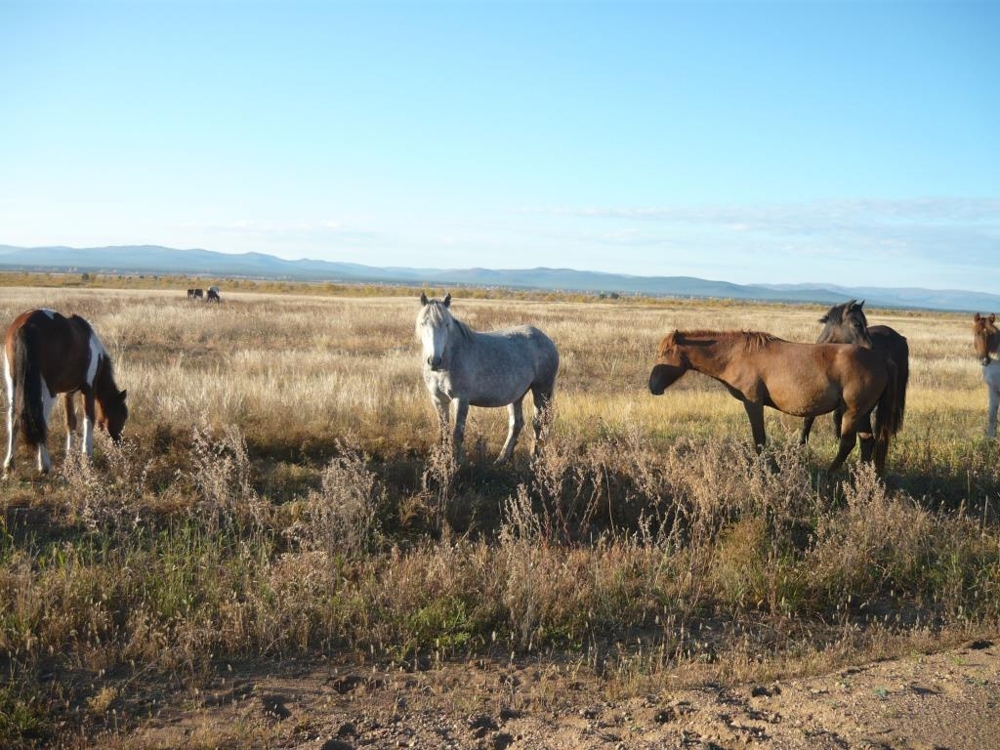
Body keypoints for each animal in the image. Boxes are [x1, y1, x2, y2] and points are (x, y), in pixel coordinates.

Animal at [2, 310, 128, 476]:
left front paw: (70, 457)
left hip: (13, 382)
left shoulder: (68, 393)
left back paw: (9, 464)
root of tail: (26, 325)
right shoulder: (89, 389)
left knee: (13, 417)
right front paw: (87, 458)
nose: (119, 442)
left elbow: (70, 422)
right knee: (40, 420)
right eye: (123, 415)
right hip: (47, 390)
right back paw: (44, 465)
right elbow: (89, 419)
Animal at [416, 294, 564, 464]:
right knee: (517, 423)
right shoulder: (438, 400)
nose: (434, 361)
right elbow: (444, 433)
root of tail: (547, 340)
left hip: (541, 390)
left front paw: (459, 463)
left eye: (446, 325)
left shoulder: (461, 400)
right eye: (423, 323)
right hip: (517, 395)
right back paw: (502, 459)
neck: (451, 358)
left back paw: (535, 459)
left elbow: (457, 434)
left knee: (539, 423)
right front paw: (443, 462)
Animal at [648, 330, 900, 472]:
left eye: (664, 354)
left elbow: (759, 440)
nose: (652, 386)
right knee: (867, 442)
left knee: (847, 443)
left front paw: (767, 470)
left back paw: (829, 478)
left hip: (852, 412)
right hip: (863, 413)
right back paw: (863, 478)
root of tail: (880, 360)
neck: (737, 355)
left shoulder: (753, 403)